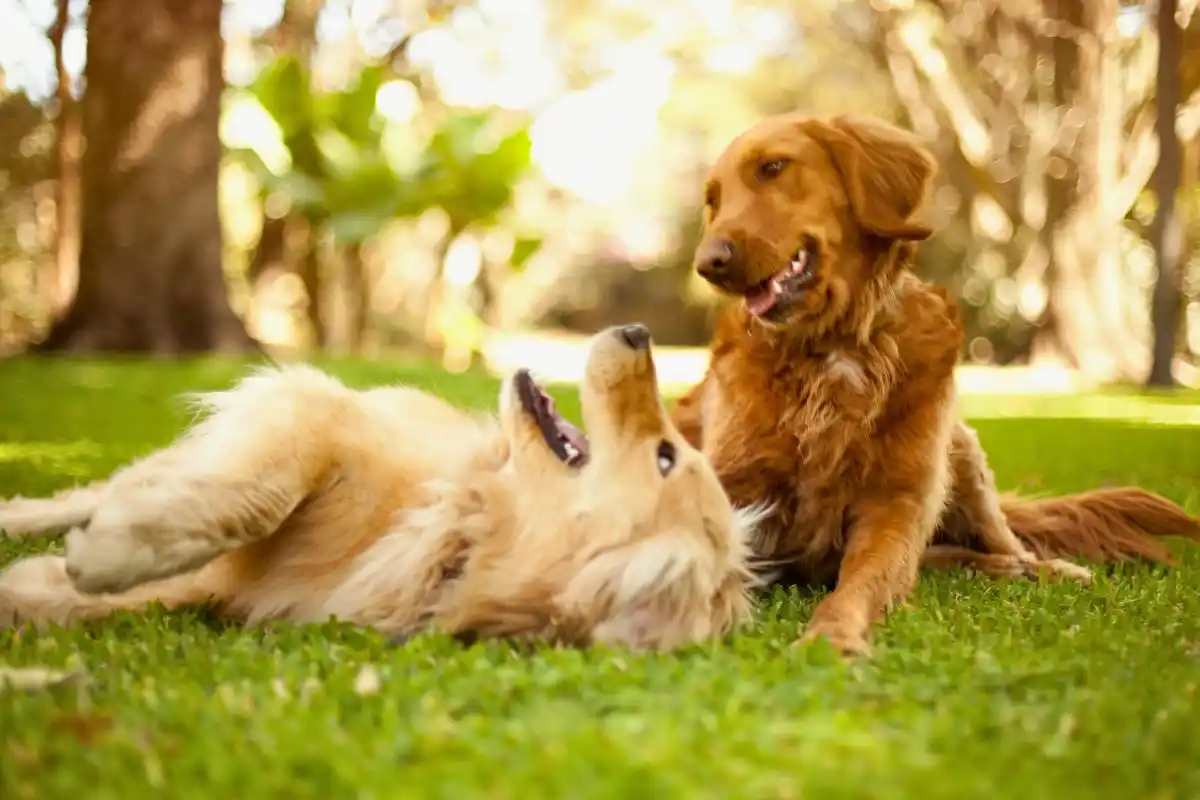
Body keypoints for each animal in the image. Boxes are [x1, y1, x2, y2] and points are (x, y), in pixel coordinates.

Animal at [0, 326, 758, 652]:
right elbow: (258, 496)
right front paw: (113, 553)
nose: (638, 329)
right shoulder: (314, 412)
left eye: (666, 456)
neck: (458, 531)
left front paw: (46, 584)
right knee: (96, 491)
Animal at [676, 110, 1200, 657]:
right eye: (713, 201)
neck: (834, 348)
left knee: (1003, 542)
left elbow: (860, 584)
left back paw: (1041, 568)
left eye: (773, 168)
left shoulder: (897, 504)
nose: (707, 264)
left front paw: (832, 636)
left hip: (962, 453)